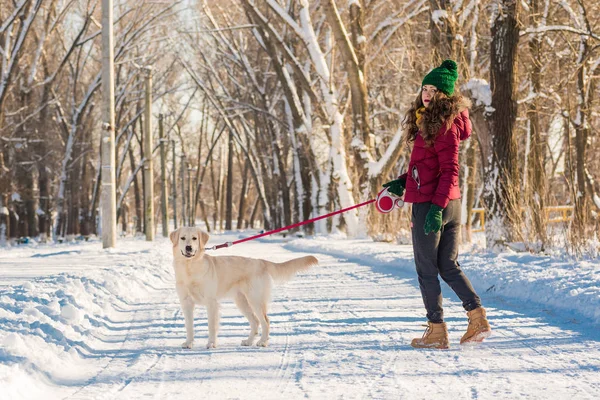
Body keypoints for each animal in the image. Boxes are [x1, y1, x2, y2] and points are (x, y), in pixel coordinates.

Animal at [170, 227, 318, 348]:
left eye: (194, 238)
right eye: (182, 238)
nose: (188, 247)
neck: (190, 267)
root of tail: (261, 262)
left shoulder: (211, 302)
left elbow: (211, 325)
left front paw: (211, 343)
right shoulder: (186, 302)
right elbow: (189, 326)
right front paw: (189, 343)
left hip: (255, 300)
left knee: (265, 321)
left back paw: (262, 342)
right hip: (242, 302)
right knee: (255, 322)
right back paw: (248, 341)